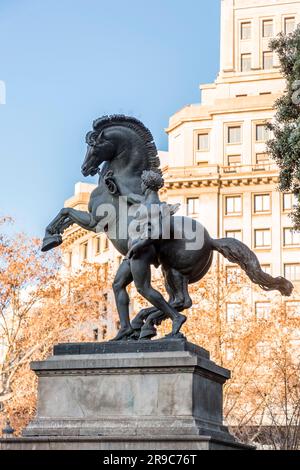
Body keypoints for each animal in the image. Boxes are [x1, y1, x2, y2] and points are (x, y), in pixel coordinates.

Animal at [41, 115, 292, 340]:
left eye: (94, 144)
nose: (85, 168)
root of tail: (212, 241)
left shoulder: (95, 221)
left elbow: (65, 213)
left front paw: (49, 239)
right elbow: (66, 216)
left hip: (170, 269)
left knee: (174, 300)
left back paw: (151, 324)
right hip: (164, 269)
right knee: (169, 299)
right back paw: (140, 325)